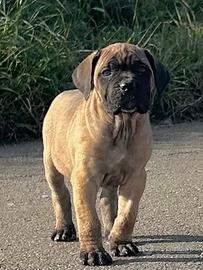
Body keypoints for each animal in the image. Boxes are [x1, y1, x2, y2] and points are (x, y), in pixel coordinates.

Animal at [42, 42, 170, 266]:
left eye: (142, 69)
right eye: (107, 72)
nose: (128, 85)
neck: (120, 126)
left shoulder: (136, 177)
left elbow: (127, 214)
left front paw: (121, 243)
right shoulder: (84, 179)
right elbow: (88, 219)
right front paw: (93, 252)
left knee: (107, 201)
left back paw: (110, 231)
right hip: (51, 165)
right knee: (60, 194)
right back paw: (63, 229)